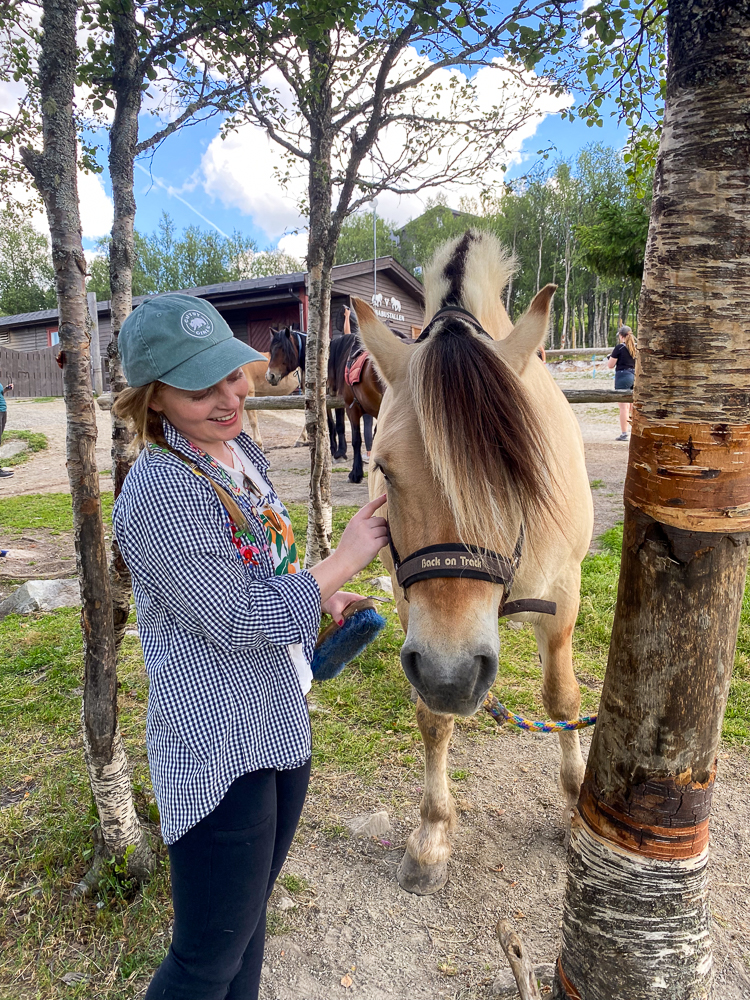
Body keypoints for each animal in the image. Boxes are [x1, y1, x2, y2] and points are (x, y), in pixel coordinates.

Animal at [355, 229, 593, 895]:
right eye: (383, 471)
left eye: (517, 468)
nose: (452, 674)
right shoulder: (413, 608)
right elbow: (432, 720)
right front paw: (432, 835)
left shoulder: (563, 596)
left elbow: (563, 700)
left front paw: (575, 804)